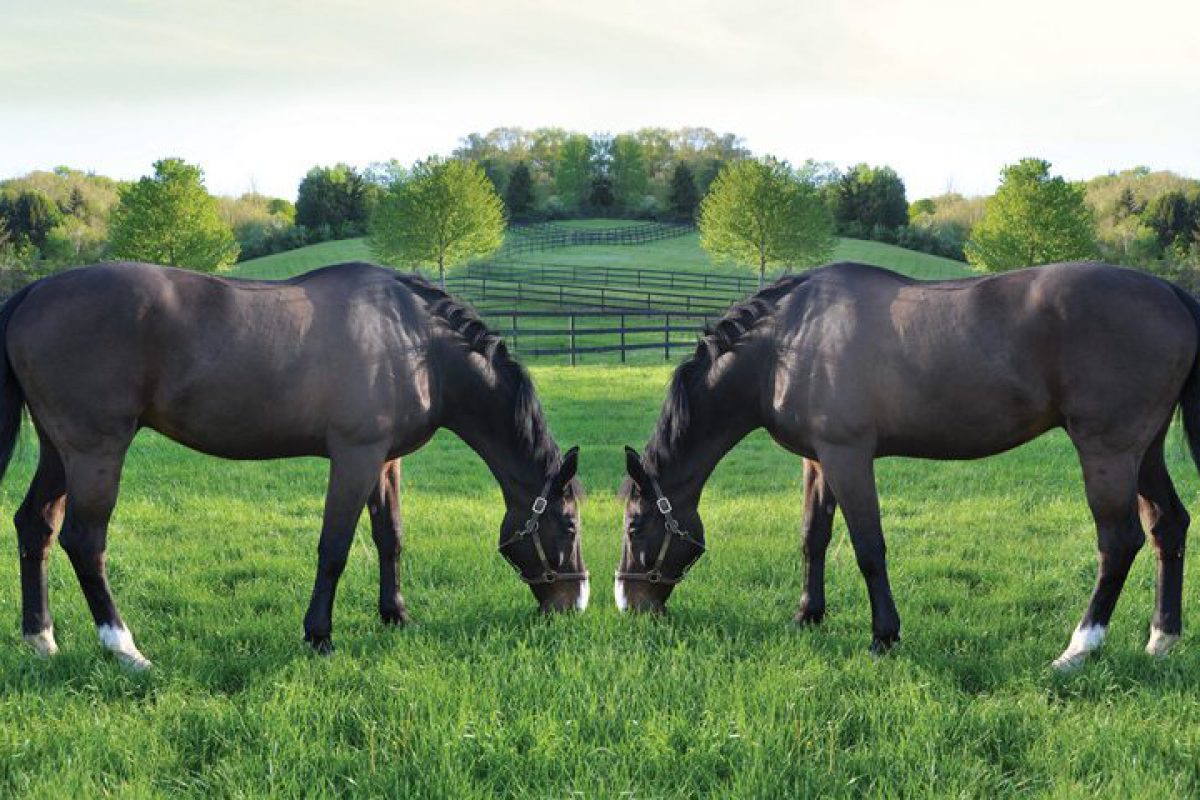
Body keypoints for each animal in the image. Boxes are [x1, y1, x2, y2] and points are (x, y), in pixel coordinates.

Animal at [0, 262, 588, 671]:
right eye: (570, 524)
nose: (575, 603)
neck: (413, 343)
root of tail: (34, 292)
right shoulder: (354, 457)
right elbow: (335, 549)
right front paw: (320, 635)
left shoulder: (385, 461)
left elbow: (390, 538)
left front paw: (396, 615)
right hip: (97, 452)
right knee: (84, 541)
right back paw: (124, 649)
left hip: (60, 453)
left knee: (35, 526)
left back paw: (40, 638)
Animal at [619, 262, 1200, 671]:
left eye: (633, 525)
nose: (628, 603)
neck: (788, 343)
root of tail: (1169, 292)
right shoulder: (818, 460)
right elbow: (813, 537)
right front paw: (807, 615)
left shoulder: (848, 456)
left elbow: (868, 548)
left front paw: (883, 636)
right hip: (1143, 452)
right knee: (1167, 525)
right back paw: (1162, 638)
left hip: (1107, 451)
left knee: (1118, 541)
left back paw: (1080, 648)